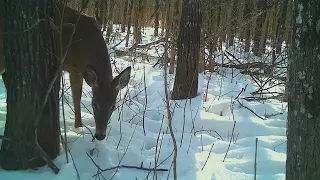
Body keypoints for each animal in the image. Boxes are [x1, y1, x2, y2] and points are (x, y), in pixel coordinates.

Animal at [0, 4, 131, 141]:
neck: (87, 44)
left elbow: (77, 96)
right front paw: (78, 127)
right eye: (94, 104)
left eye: (113, 107)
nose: (100, 136)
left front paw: (79, 127)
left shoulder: (77, 70)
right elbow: (76, 97)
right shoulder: (71, 66)